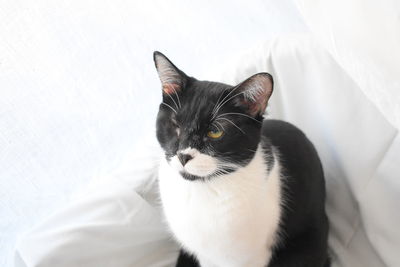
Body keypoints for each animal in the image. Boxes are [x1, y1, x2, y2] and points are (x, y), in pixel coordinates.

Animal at [153, 50, 328, 267]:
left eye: (215, 132)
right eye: (175, 125)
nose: (183, 156)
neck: (203, 189)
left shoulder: (253, 256)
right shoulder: (205, 256)